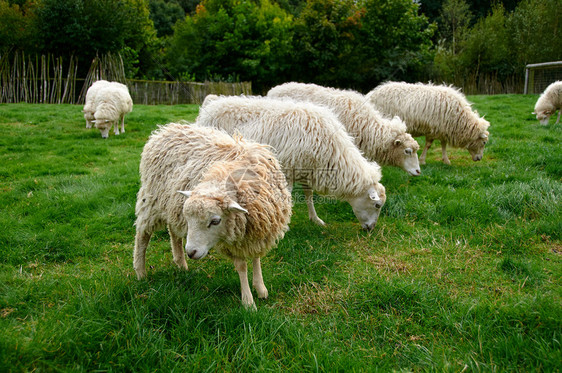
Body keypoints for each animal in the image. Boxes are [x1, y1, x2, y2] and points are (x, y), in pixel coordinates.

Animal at [133, 122, 290, 308]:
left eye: (215, 221)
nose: (191, 252)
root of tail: (163, 130)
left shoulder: (257, 231)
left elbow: (256, 258)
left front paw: (261, 288)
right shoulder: (234, 238)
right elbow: (241, 266)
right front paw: (248, 302)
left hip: (171, 204)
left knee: (173, 232)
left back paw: (181, 264)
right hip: (151, 200)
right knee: (142, 235)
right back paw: (141, 272)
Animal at [195, 95, 382, 230]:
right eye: (377, 205)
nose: (370, 229)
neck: (334, 153)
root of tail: (211, 105)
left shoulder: (307, 170)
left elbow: (309, 195)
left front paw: (315, 219)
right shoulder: (289, 169)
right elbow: (288, 196)